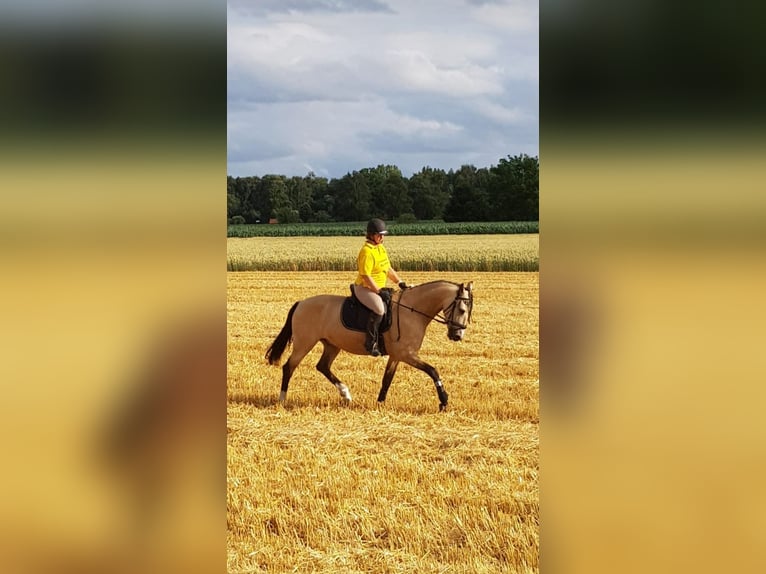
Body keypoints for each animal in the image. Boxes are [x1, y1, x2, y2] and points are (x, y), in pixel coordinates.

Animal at [268, 282, 476, 412]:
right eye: (461, 309)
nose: (457, 336)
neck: (413, 311)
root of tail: (301, 303)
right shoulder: (407, 354)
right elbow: (433, 371)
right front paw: (444, 401)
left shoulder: (397, 355)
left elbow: (387, 379)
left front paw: (380, 403)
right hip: (304, 343)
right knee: (289, 367)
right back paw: (282, 399)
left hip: (332, 344)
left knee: (323, 366)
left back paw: (346, 394)